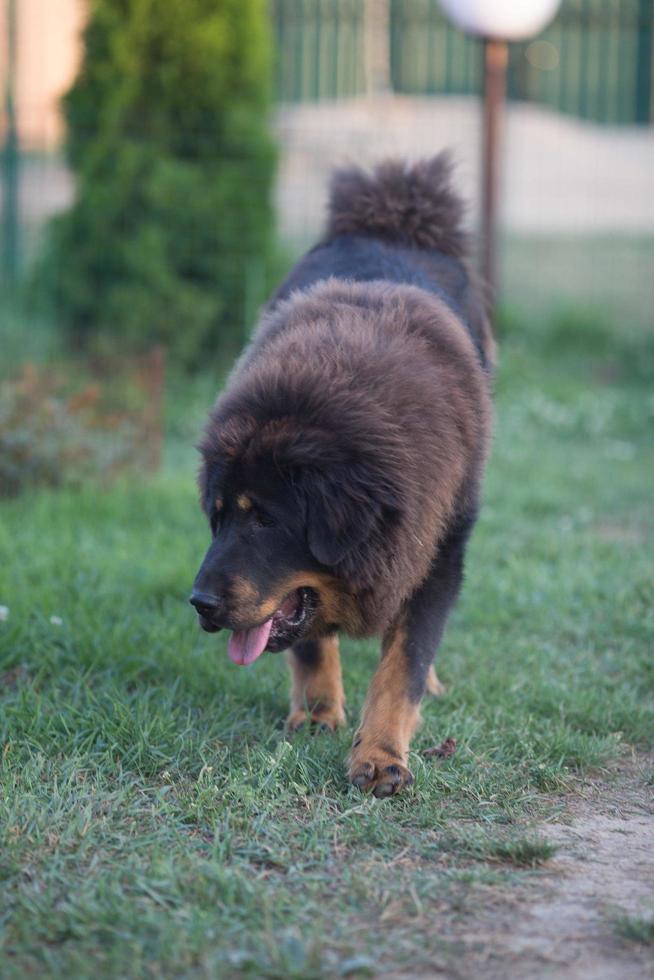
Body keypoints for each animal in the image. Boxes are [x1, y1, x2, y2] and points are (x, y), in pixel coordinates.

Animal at [192, 153, 494, 796]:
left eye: (265, 520)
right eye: (218, 518)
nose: (199, 602)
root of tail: (392, 219)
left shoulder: (435, 547)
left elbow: (403, 663)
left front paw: (380, 754)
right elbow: (308, 641)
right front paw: (315, 713)